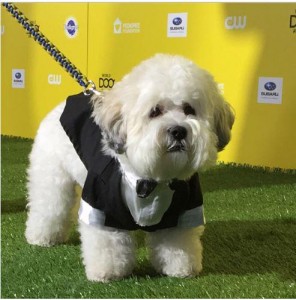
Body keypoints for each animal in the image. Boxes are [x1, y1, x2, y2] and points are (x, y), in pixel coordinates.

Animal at [25, 53, 235, 282]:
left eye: (189, 109)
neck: (150, 180)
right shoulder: (101, 204)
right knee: (49, 207)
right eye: (155, 111)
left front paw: (180, 267)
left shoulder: (185, 208)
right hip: (52, 179)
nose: (178, 131)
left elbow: (176, 242)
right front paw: (106, 271)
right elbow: (107, 243)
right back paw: (41, 236)